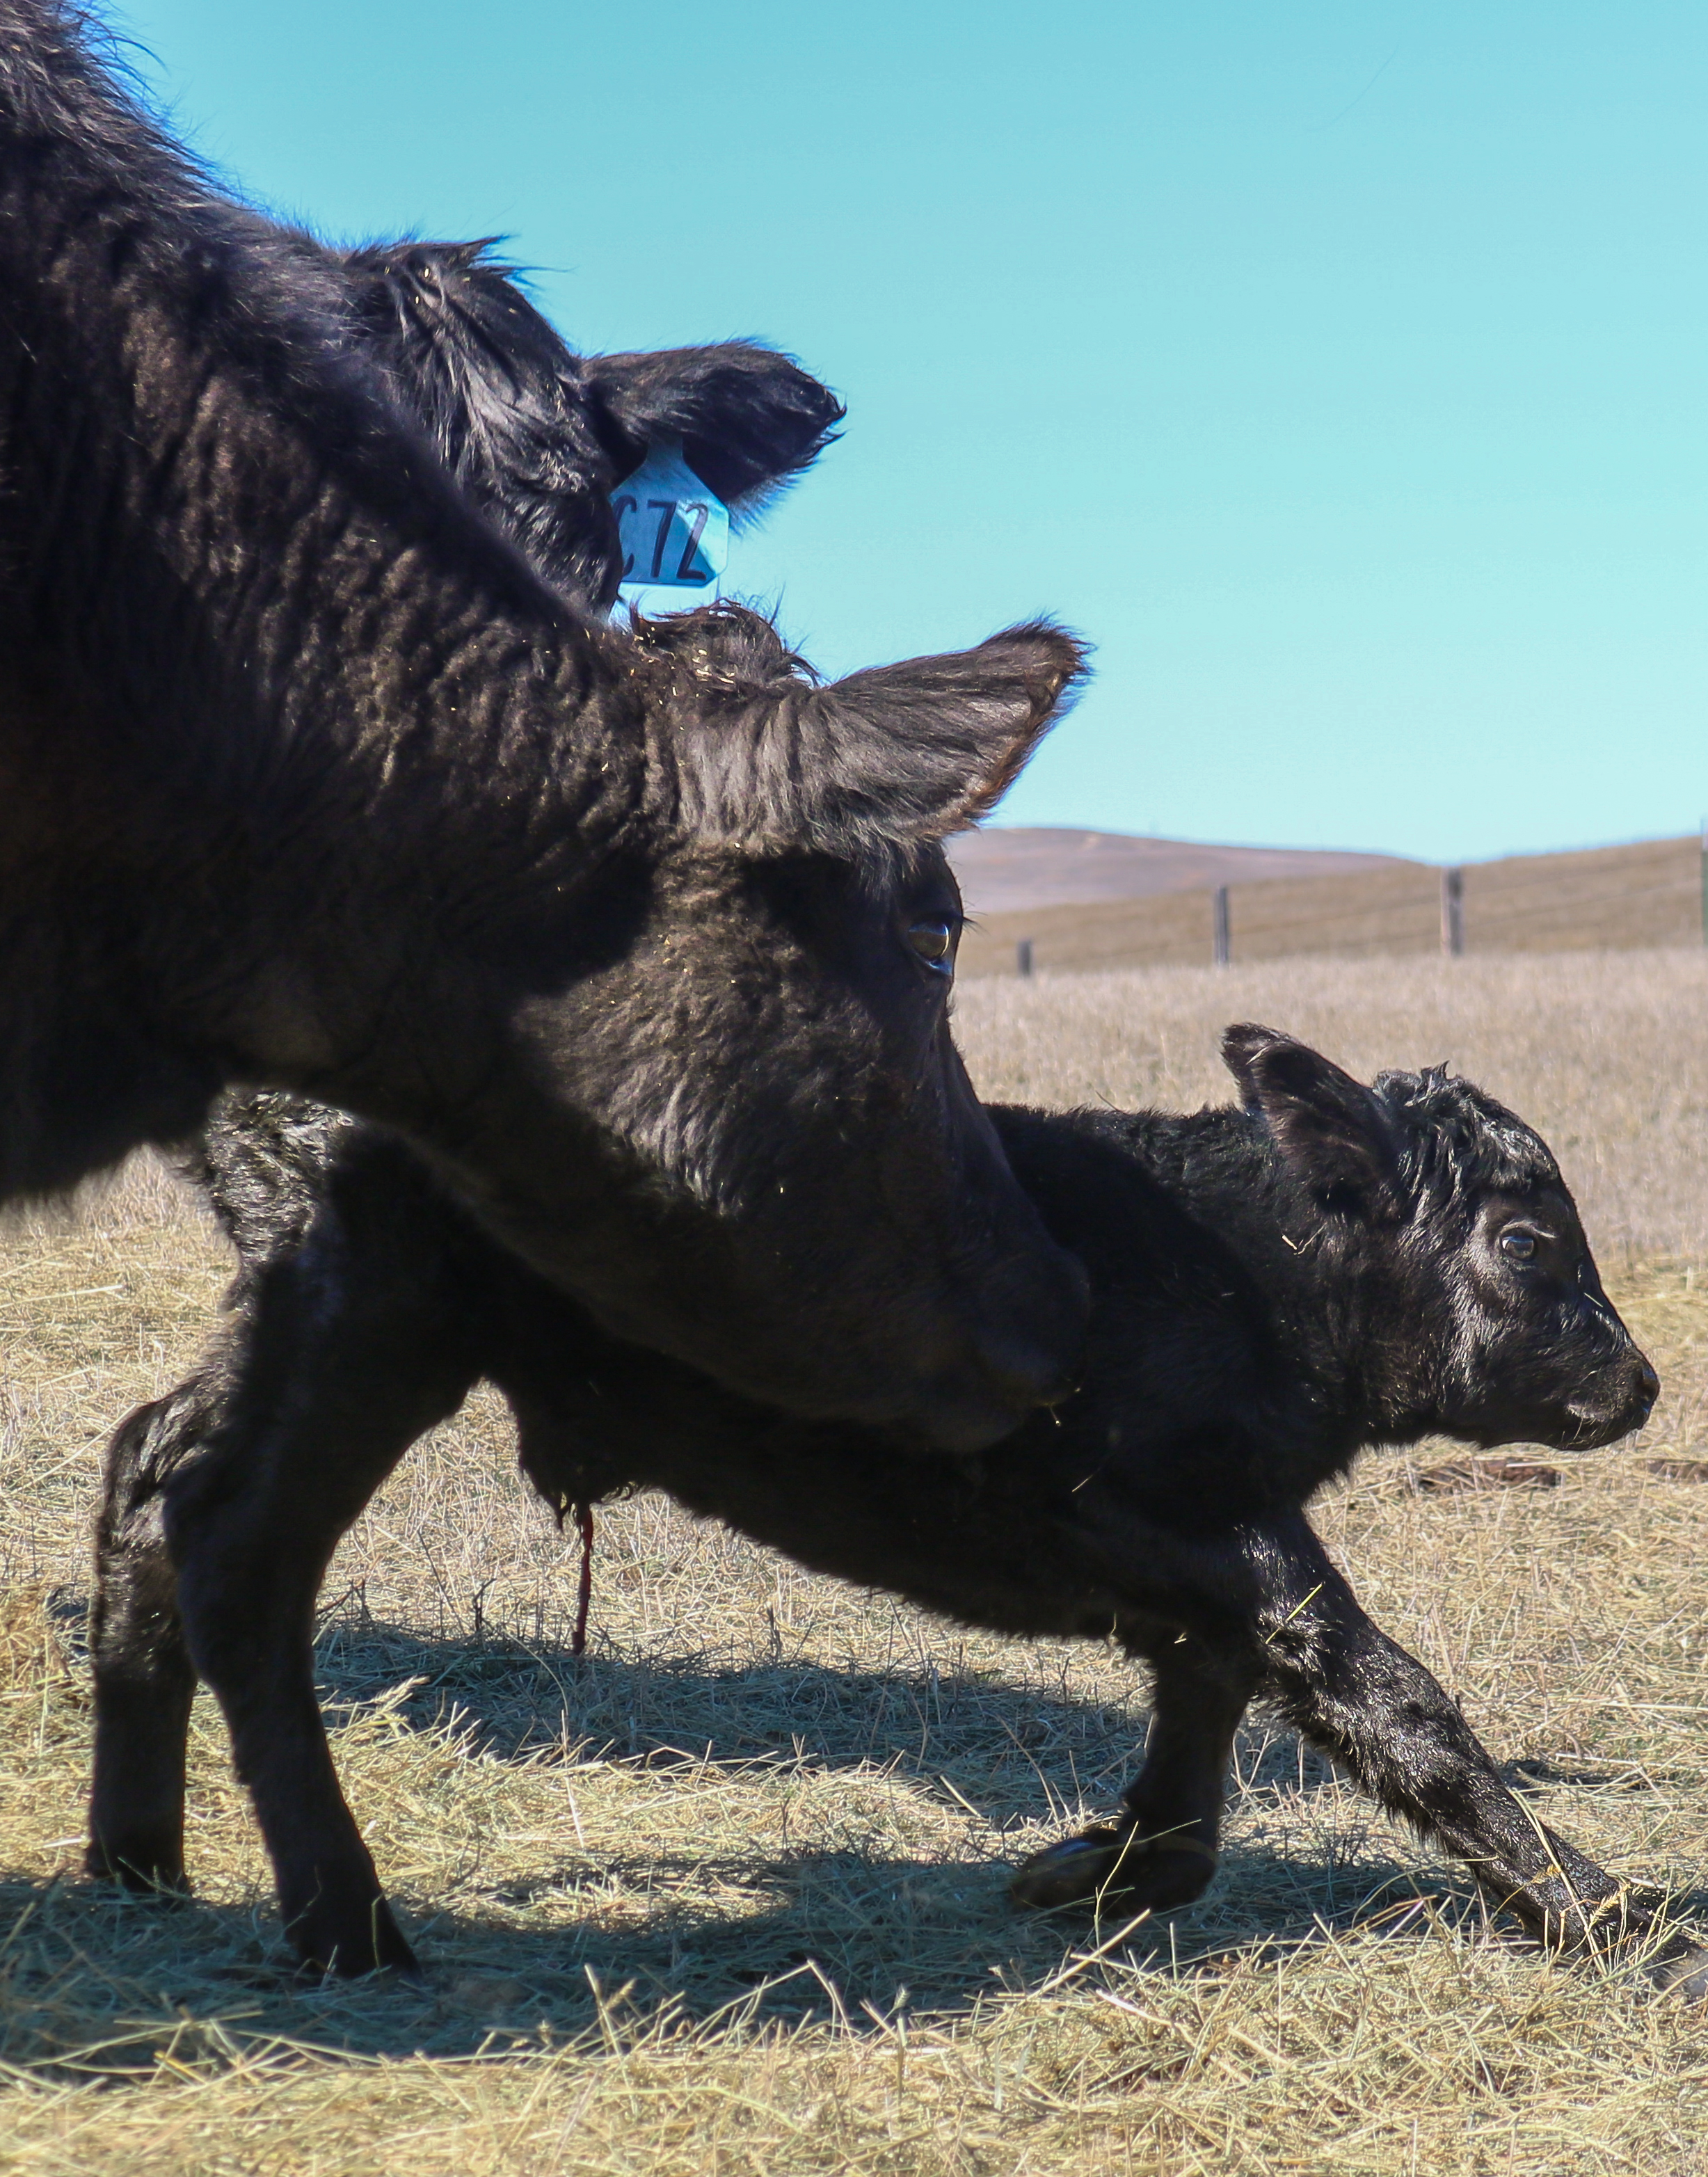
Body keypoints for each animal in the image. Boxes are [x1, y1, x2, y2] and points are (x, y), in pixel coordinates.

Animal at [88, 1025, 1708, 1993]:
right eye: (1524, 1241)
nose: (1637, 1380)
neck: (1239, 1264)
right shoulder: (1167, 1516)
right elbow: (1384, 1691)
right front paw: (1610, 1914)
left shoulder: (1203, 1549)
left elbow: (1212, 1735)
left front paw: (1087, 1872)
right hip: (374, 1316)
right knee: (237, 1550)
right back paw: (345, 1922)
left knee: (146, 1472)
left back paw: (137, 1865)